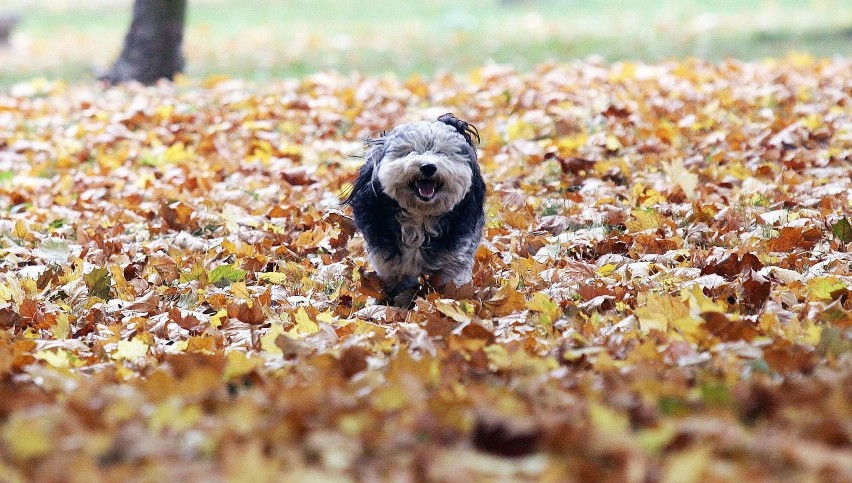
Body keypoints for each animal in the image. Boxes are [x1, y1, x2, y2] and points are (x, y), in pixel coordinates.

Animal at [342, 113, 486, 306]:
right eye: (410, 151)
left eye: (442, 153)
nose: (428, 167)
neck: (420, 216)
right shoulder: (389, 262)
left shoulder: (454, 258)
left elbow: (451, 286)